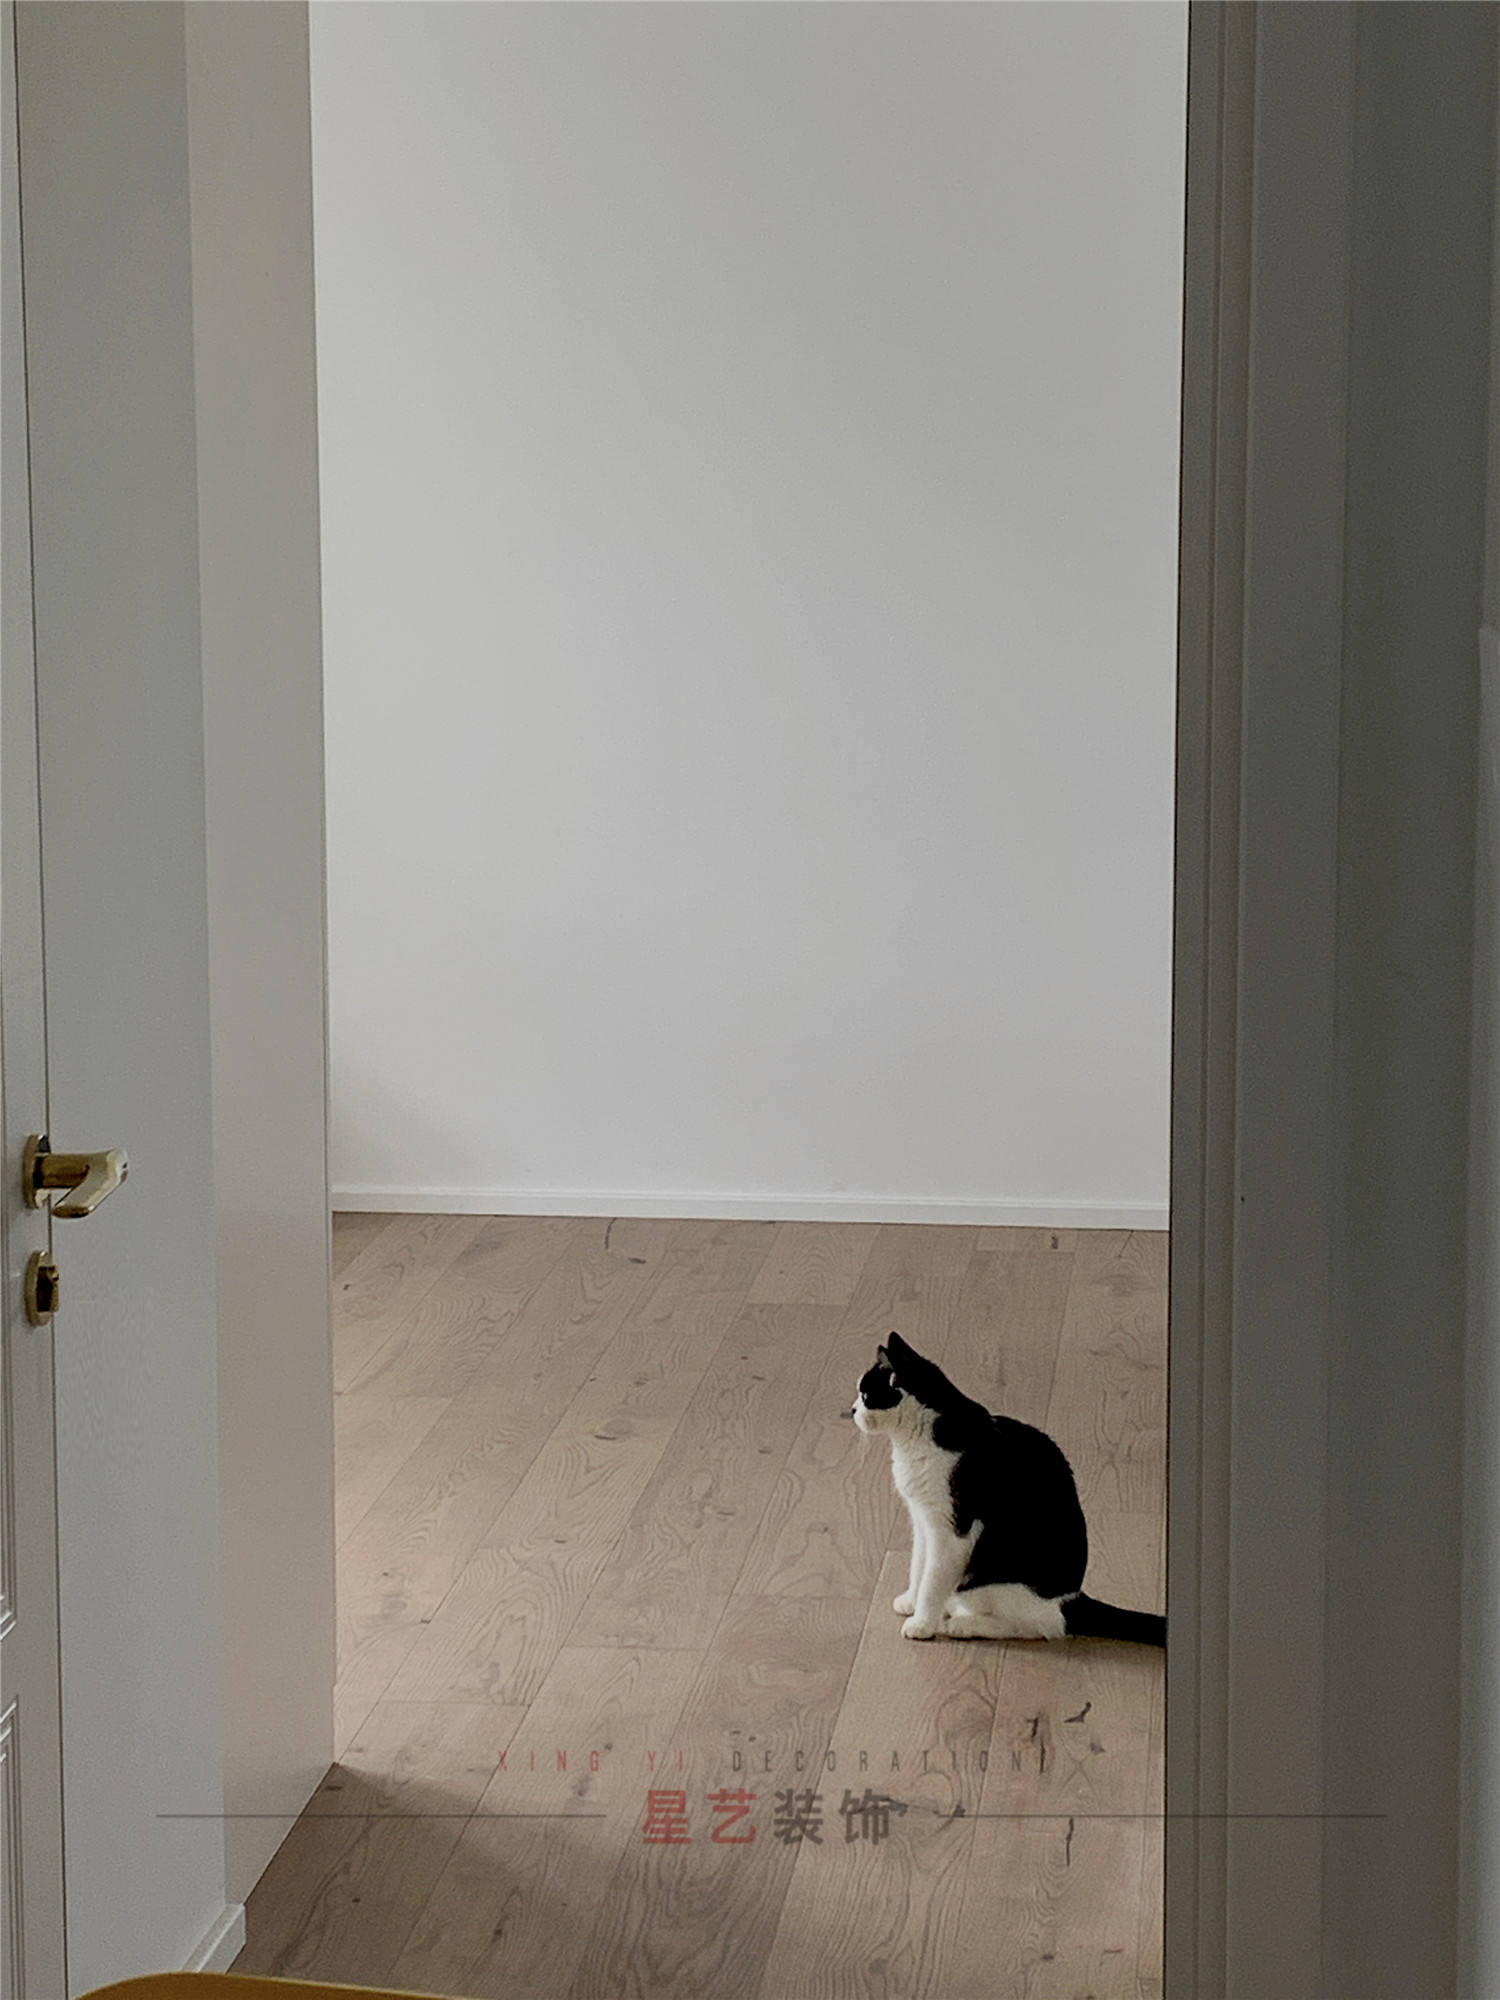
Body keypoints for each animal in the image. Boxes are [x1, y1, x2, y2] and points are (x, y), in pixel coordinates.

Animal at [849, 1330, 1164, 1646]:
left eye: (865, 1396)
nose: (851, 1410)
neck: (918, 1438)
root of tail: (1072, 1597)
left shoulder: (953, 1532)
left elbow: (933, 1578)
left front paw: (921, 1623)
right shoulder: (923, 1518)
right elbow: (918, 1566)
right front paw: (910, 1602)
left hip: (1002, 1584)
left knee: (1041, 1626)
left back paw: (962, 1624)